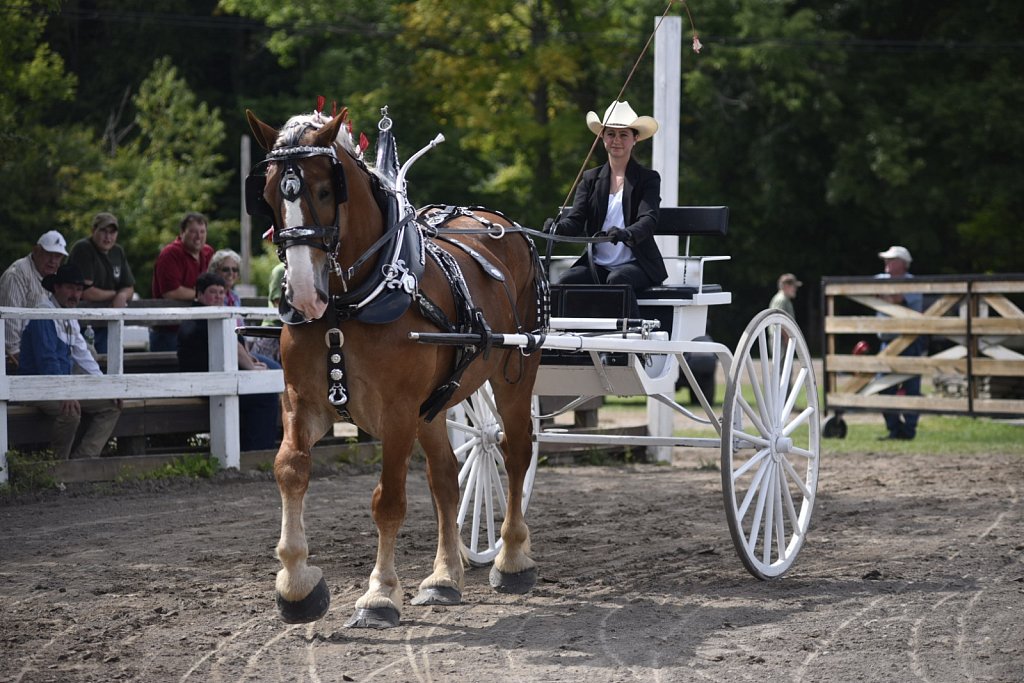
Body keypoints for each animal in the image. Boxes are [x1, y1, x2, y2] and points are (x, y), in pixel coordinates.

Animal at [246, 109, 544, 626]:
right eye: (266, 195)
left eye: (324, 190)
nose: (303, 294)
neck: (347, 306)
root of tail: (501, 223)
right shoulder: (304, 403)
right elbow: (290, 470)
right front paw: (297, 584)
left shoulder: (399, 410)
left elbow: (387, 501)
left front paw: (381, 593)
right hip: (435, 404)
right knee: (446, 477)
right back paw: (444, 577)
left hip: (513, 373)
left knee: (515, 452)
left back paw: (510, 558)